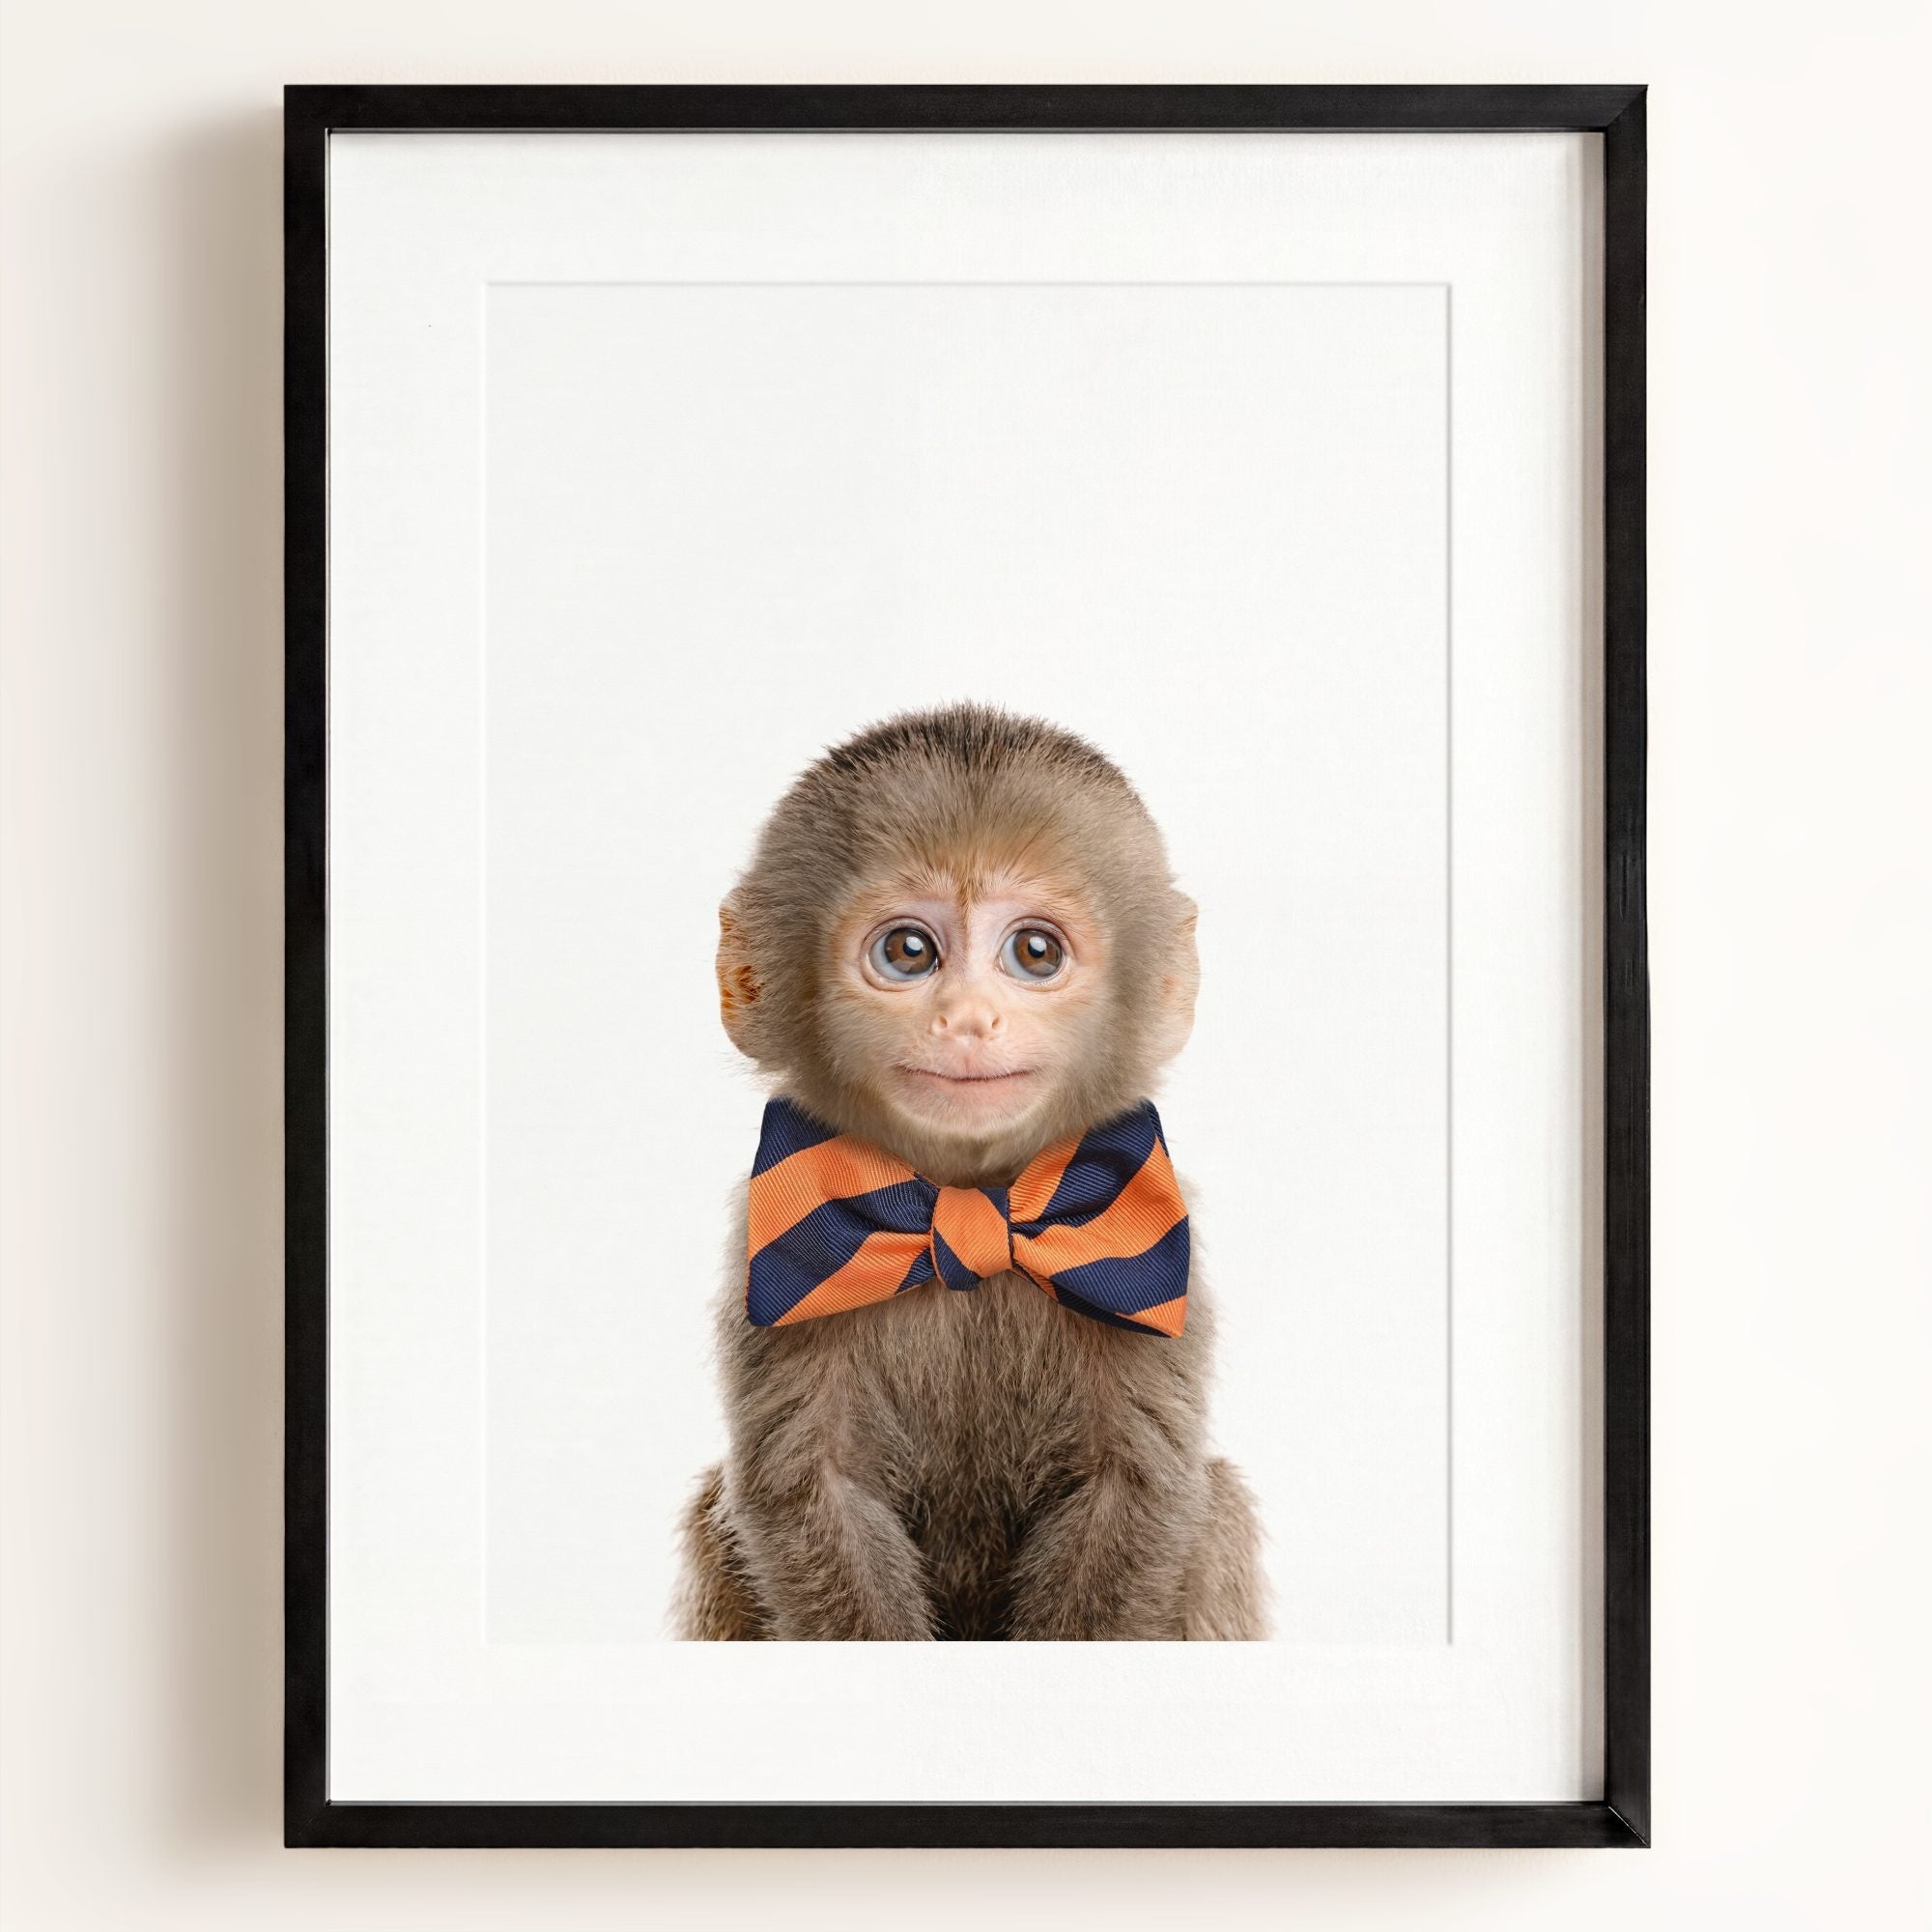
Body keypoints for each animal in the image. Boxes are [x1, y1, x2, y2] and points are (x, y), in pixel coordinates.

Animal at [674, 703, 1267, 1640]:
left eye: (1035, 952)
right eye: (910, 952)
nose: (968, 1019)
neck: (964, 1195)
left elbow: (1136, 1489)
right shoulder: (769, 1250)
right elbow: (812, 1491)